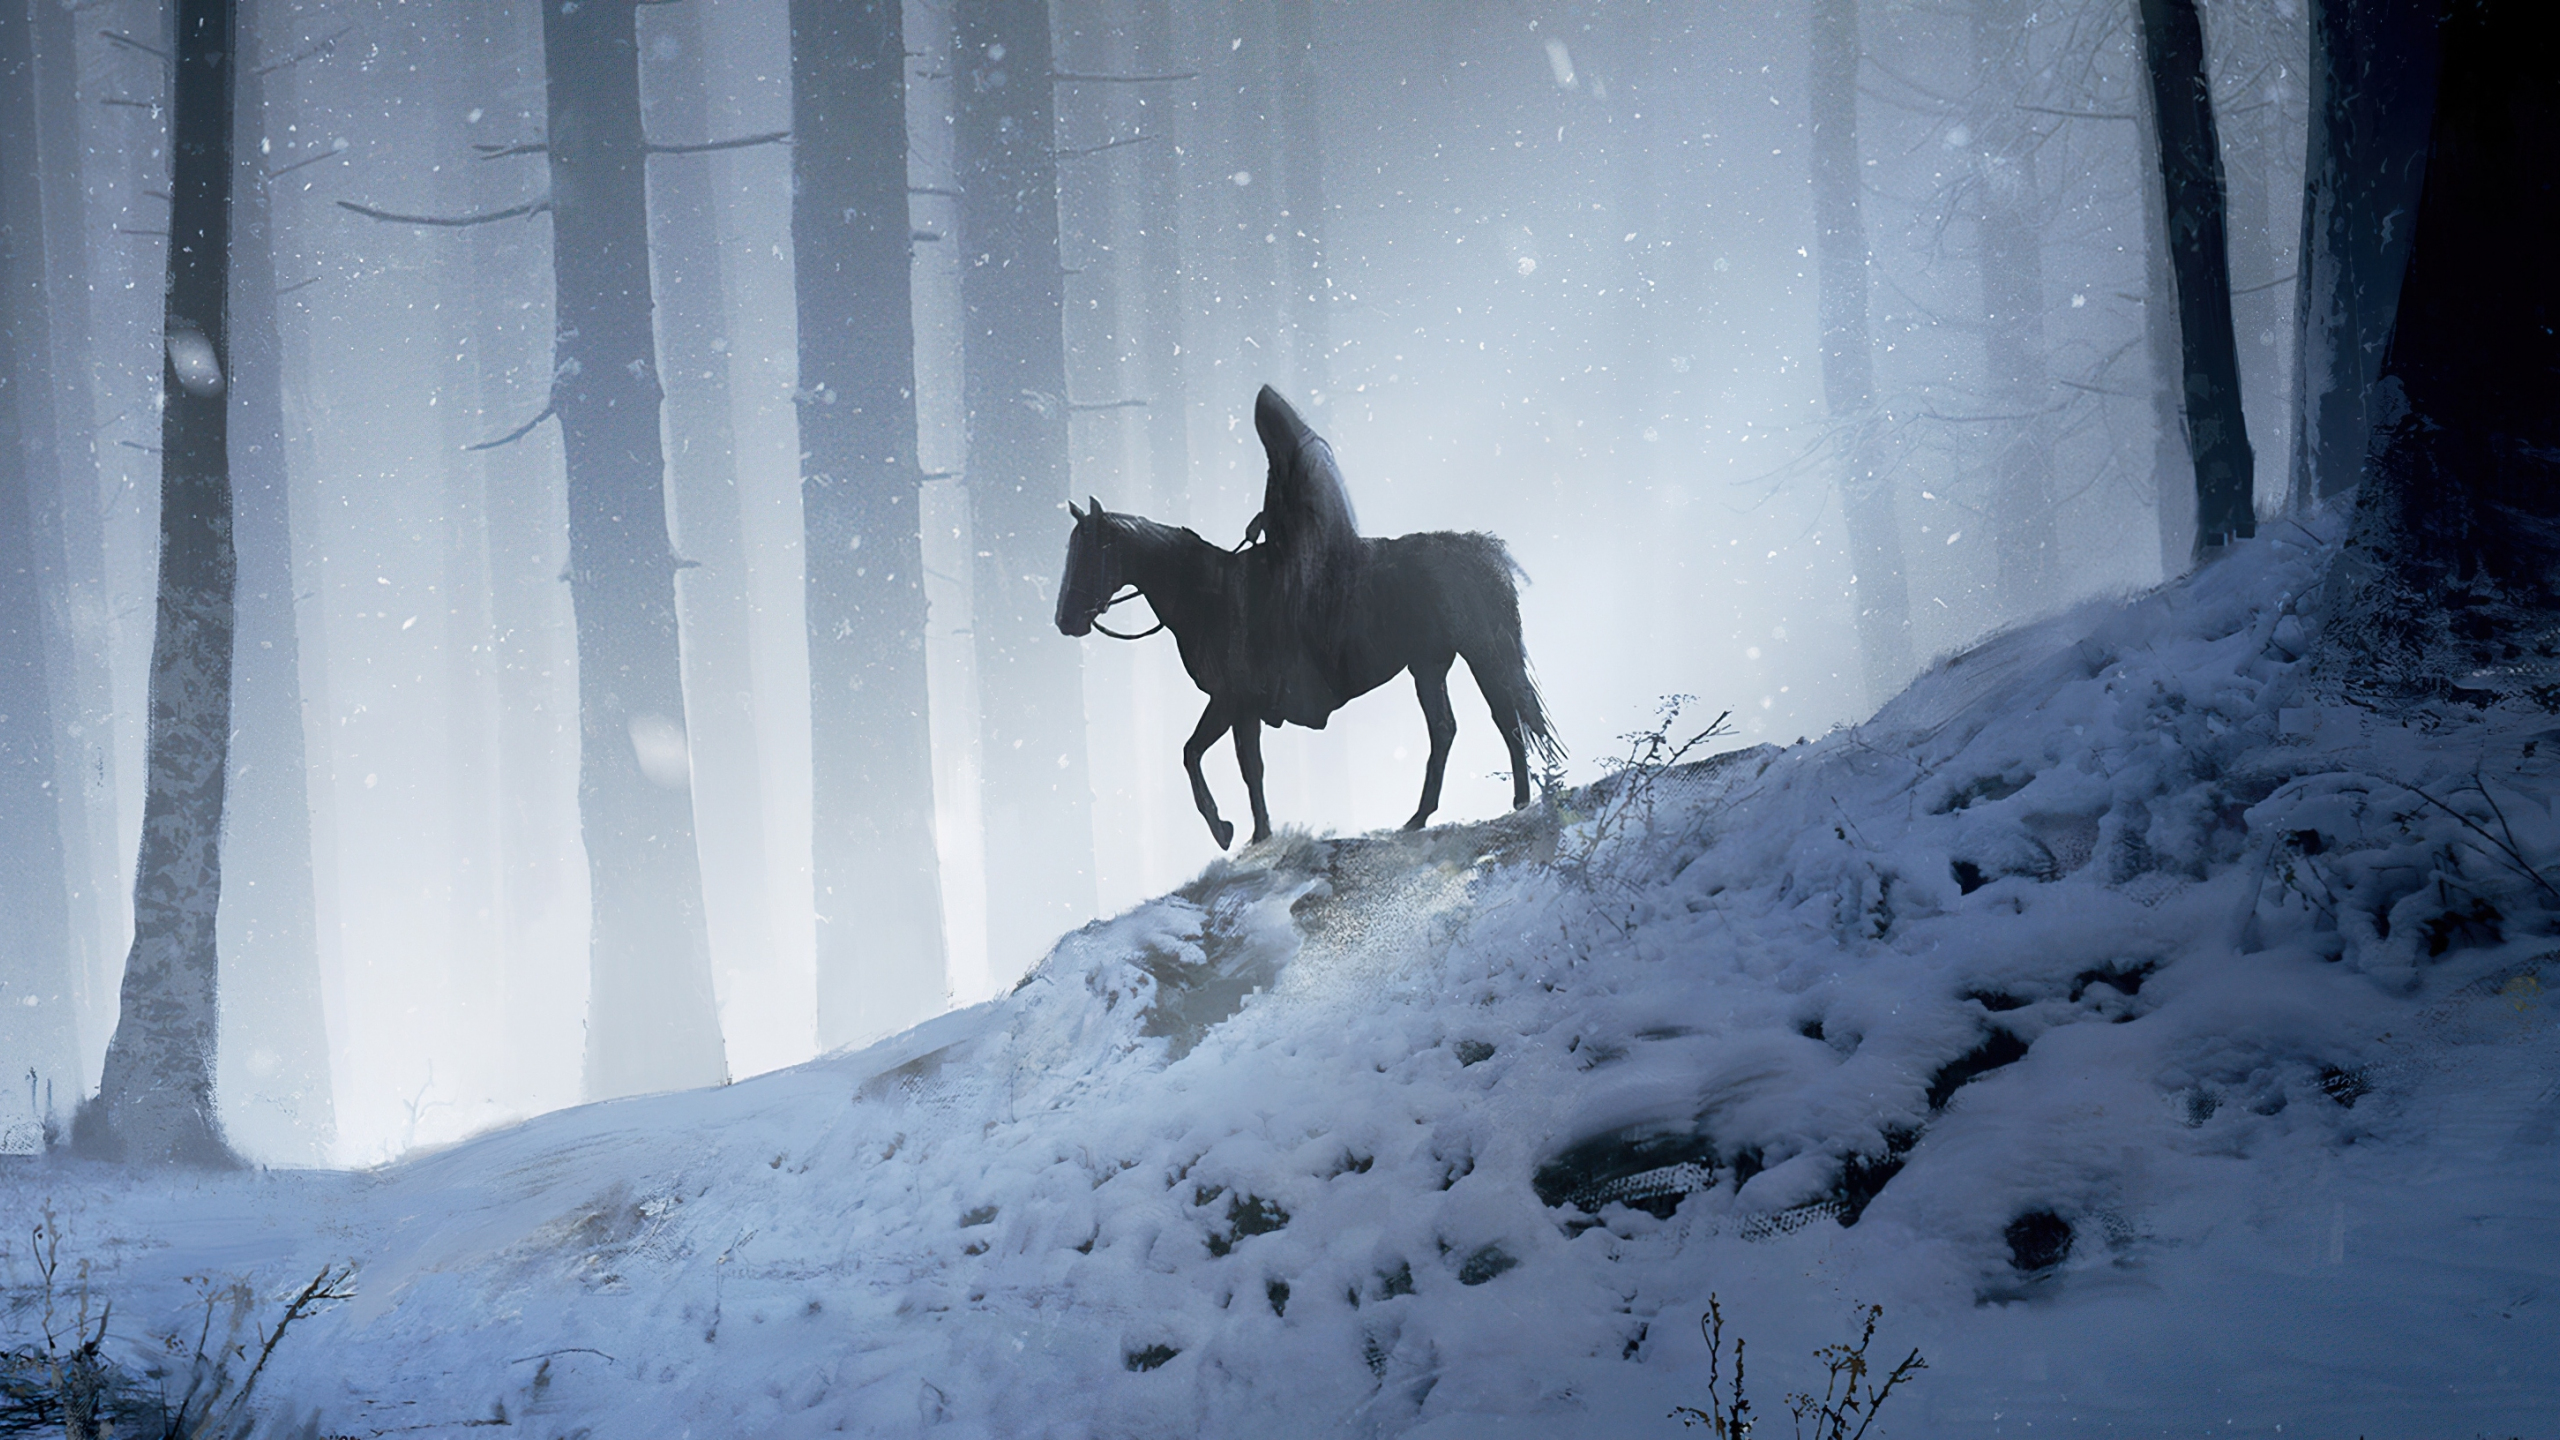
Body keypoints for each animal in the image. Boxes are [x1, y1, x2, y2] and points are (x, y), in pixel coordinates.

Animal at [1054, 498, 1563, 849]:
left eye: (1091, 554)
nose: (1065, 620)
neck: (1210, 595)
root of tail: (1477, 549)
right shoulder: (1236, 706)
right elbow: (1226, 761)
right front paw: (1245, 831)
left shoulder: (1233, 702)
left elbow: (1217, 759)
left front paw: (1233, 830)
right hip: (1428, 666)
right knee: (1448, 728)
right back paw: (1423, 817)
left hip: (1481, 654)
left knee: (1504, 719)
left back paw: (1516, 802)